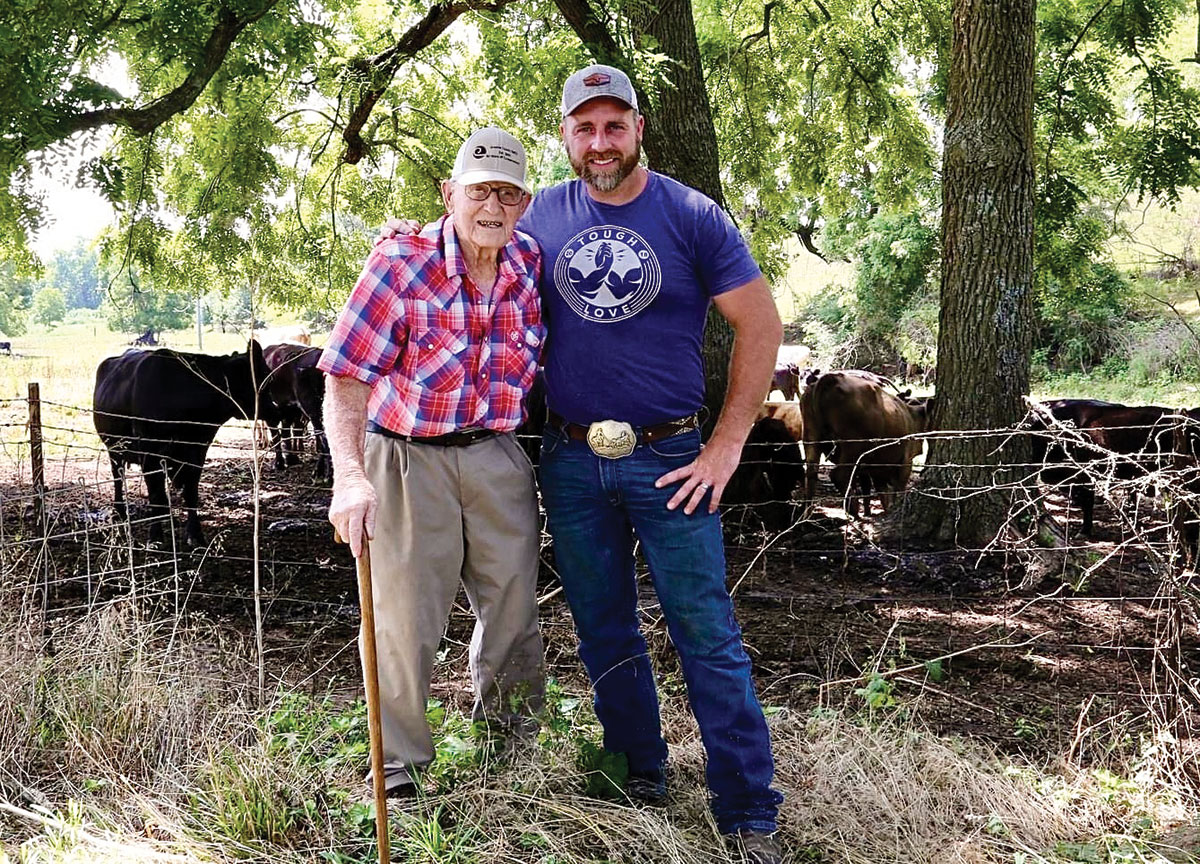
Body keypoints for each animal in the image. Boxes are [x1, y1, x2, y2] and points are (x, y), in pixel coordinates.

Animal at [93, 340, 276, 542]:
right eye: (265, 378)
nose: (278, 409)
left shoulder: (197, 451)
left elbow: (190, 491)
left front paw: (195, 534)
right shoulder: (148, 452)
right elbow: (155, 494)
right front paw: (155, 536)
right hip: (114, 448)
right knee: (118, 477)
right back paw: (119, 512)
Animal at [262, 343, 328, 480]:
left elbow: (277, 435)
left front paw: (279, 463)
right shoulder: (290, 410)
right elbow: (286, 433)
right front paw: (291, 459)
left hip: (312, 408)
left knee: (323, 436)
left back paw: (321, 472)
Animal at [801, 369, 931, 516]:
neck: (910, 415)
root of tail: (832, 378)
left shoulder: (876, 466)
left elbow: (879, 489)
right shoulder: (906, 461)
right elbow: (897, 488)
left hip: (811, 438)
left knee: (811, 473)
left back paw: (807, 513)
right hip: (854, 447)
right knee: (838, 475)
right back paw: (853, 508)